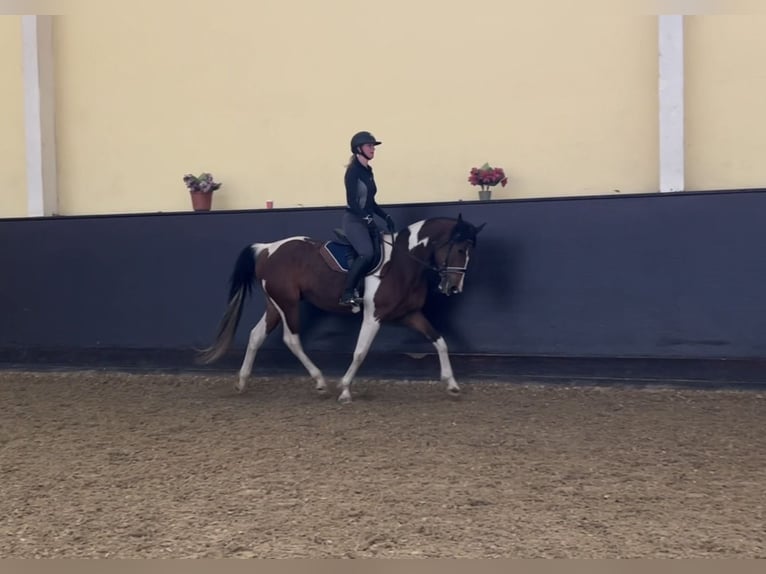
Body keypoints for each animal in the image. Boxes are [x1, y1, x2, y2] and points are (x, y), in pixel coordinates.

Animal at [198, 214, 485, 403]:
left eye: (470, 251)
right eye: (460, 249)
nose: (454, 287)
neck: (403, 262)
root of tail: (267, 249)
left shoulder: (411, 315)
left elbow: (440, 341)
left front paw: (452, 384)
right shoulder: (374, 315)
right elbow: (360, 352)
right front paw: (345, 389)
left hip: (275, 305)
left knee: (256, 336)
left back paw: (242, 382)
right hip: (288, 304)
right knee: (292, 339)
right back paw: (320, 382)